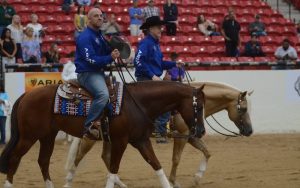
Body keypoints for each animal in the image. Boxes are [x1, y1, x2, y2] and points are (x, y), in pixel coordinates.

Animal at [0, 81, 205, 188]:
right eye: (199, 106)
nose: (201, 131)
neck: (136, 103)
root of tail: (26, 96)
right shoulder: (121, 141)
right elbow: (113, 169)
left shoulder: (141, 141)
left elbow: (156, 165)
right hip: (29, 136)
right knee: (15, 157)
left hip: (47, 135)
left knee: (43, 160)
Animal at [63, 81, 253, 187]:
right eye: (243, 109)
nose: (249, 130)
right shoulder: (182, 135)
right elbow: (176, 158)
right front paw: (174, 182)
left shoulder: (190, 136)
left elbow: (207, 152)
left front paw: (197, 178)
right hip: (91, 139)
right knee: (78, 158)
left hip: (109, 138)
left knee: (106, 157)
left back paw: (119, 182)